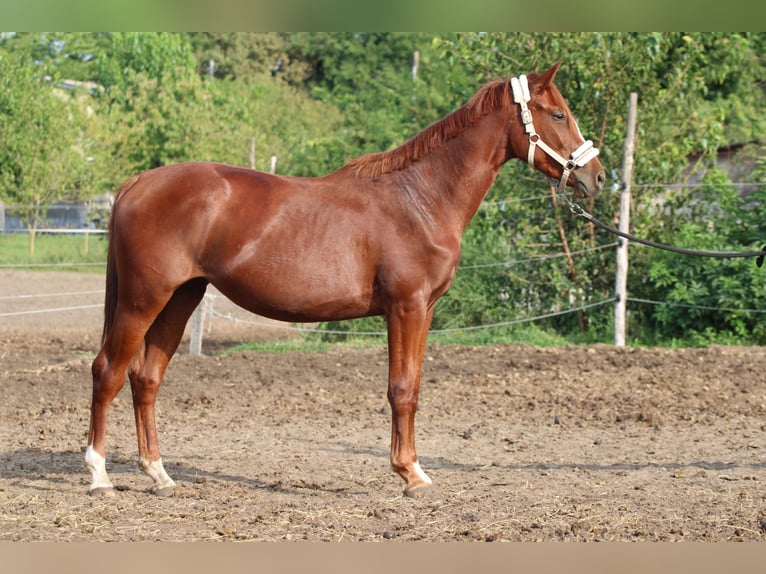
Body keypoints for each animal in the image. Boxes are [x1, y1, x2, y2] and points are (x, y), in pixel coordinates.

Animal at [85, 62, 605, 498]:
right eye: (558, 113)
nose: (597, 178)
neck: (419, 198)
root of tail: (138, 183)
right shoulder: (406, 306)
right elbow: (401, 390)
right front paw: (410, 475)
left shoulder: (425, 309)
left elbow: (413, 387)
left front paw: (413, 469)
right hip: (142, 300)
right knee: (107, 371)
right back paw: (99, 476)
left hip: (180, 298)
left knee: (146, 377)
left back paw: (159, 474)